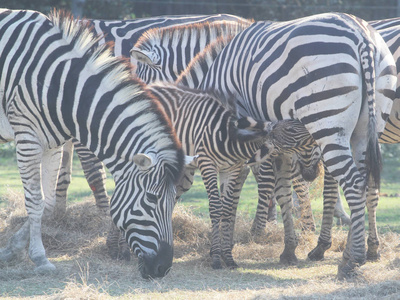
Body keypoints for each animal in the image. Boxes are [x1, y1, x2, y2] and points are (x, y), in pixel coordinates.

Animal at [0, 8, 191, 278]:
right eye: (152, 199)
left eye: (175, 199)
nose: (162, 268)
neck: (62, 86)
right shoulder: (27, 137)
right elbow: (35, 202)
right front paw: (40, 258)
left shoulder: (52, 144)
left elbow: (47, 203)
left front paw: (11, 249)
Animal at [195, 12, 396, 278]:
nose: (311, 173)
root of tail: (361, 34)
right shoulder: (281, 147)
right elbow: (282, 192)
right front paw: (289, 250)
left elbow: (237, 193)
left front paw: (224, 250)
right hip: (367, 127)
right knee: (367, 183)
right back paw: (354, 253)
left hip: (327, 122)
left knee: (353, 184)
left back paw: (353, 261)